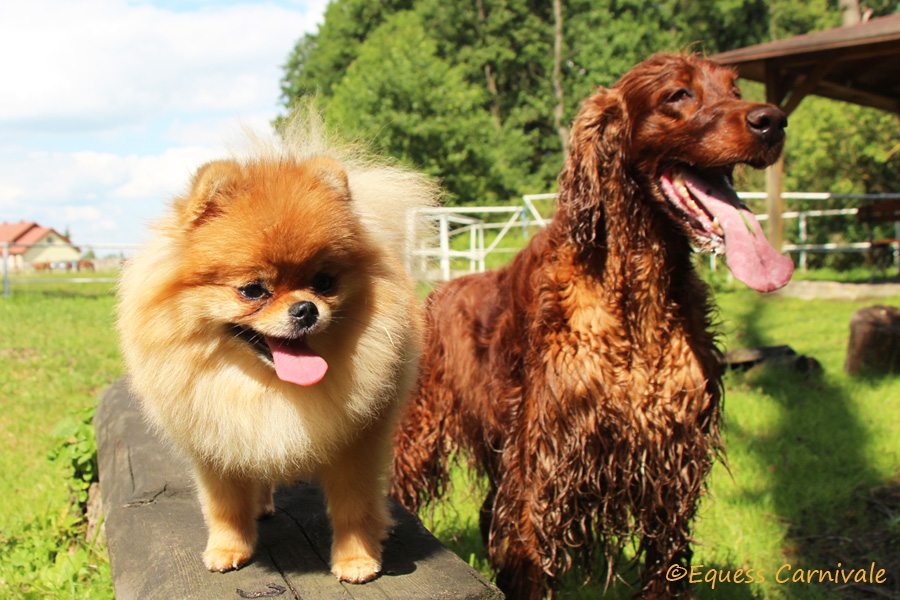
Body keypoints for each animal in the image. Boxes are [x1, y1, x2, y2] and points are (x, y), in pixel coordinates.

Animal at [118, 116, 438, 580]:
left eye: (324, 281)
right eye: (253, 290)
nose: (306, 309)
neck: (269, 388)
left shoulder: (356, 444)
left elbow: (354, 506)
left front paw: (357, 559)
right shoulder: (216, 441)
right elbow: (225, 504)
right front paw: (228, 548)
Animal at [390, 54, 792, 596]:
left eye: (734, 88)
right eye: (678, 95)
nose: (772, 120)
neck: (637, 302)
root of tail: (434, 294)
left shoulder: (672, 465)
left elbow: (667, 568)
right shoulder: (546, 463)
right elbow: (529, 557)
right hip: (420, 434)